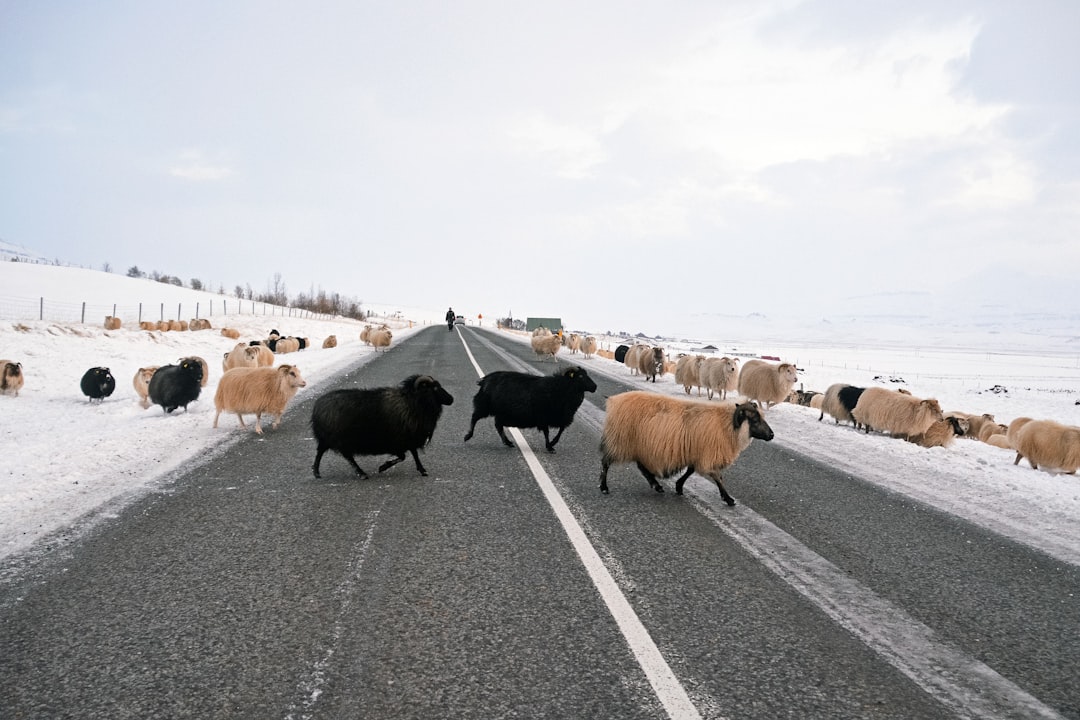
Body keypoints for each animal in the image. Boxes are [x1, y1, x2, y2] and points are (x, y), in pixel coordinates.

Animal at [311, 375, 453, 481]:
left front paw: (422, 470)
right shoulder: (400, 440)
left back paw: (316, 472)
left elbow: (412, 454)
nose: (451, 399)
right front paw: (384, 467)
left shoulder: (408, 438)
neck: (412, 403)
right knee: (347, 457)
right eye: (435, 388)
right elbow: (405, 456)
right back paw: (361, 473)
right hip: (340, 439)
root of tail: (317, 406)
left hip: (328, 438)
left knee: (321, 452)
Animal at [464, 369, 600, 453]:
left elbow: (560, 431)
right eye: (580, 376)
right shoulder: (544, 417)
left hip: (500, 412)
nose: (595, 387)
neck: (562, 388)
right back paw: (468, 436)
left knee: (498, 426)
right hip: (485, 406)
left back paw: (507, 442)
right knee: (475, 417)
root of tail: (484, 380)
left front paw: (552, 444)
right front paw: (550, 447)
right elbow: (547, 433)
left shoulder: (561, 417)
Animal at [600, 390, 777, 505]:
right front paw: (728, 499)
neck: (725, 424)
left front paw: (679, 486)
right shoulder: (708, 454)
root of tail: (614, 400)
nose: (772, 435)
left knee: (641, 466)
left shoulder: (697, 452)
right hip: (620, 440)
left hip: (638, 445)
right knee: (606, 463)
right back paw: (604, 487)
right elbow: (717, 477)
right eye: (755, 419)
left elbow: (690, 470)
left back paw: (656, 485)